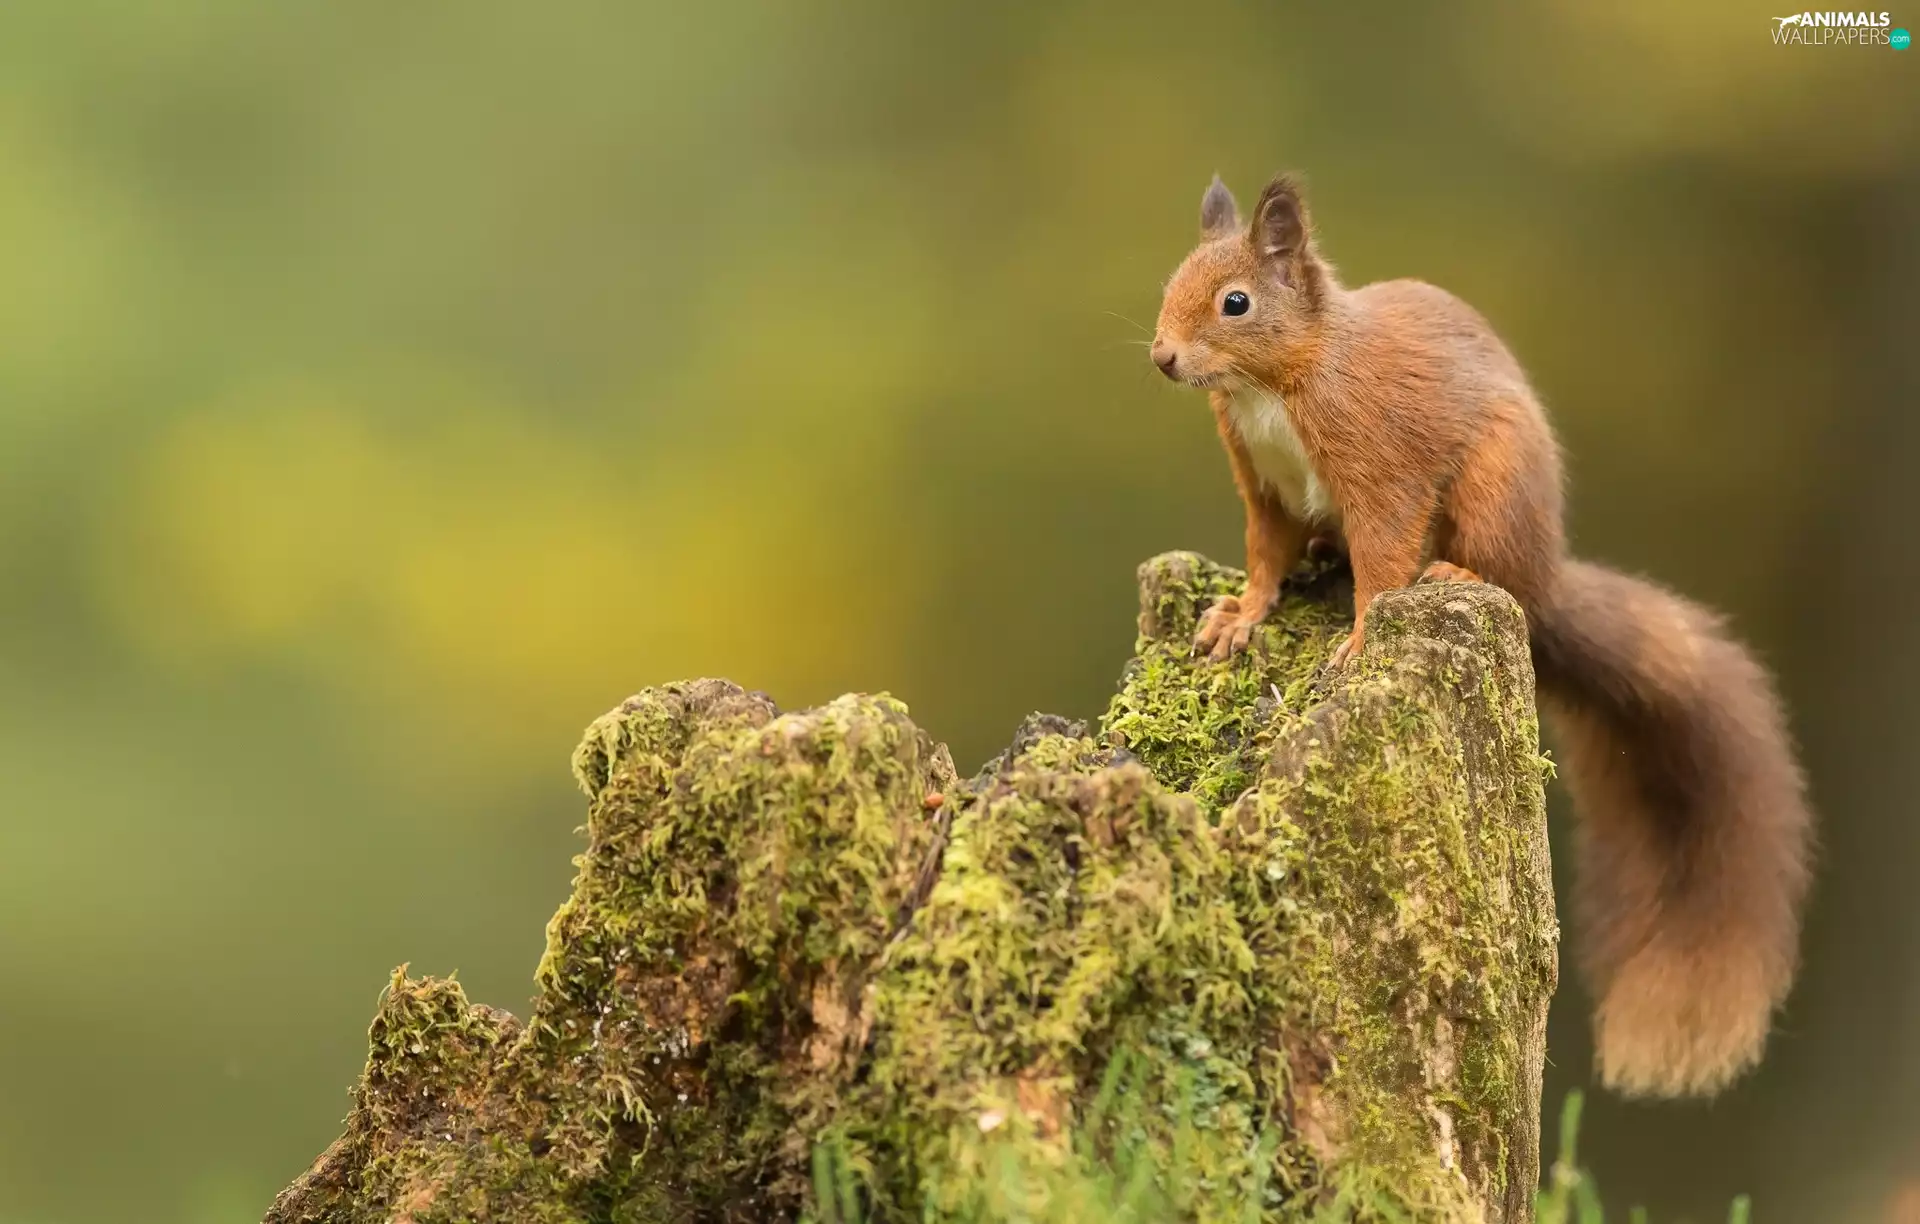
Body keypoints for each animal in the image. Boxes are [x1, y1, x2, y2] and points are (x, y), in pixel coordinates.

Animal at [1149, 173, 1813, 1099]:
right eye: (1172, 281)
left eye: (1235, 302)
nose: (1163, 358)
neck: (1276, 383)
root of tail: (1547, 573)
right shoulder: (1263, 485)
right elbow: (1262, 555)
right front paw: (1238, 618)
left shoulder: (1379, 466)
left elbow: (1384, 553)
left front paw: (1360, 636)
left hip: (1497, 487)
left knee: (1493, 573)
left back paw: (1458, 576)